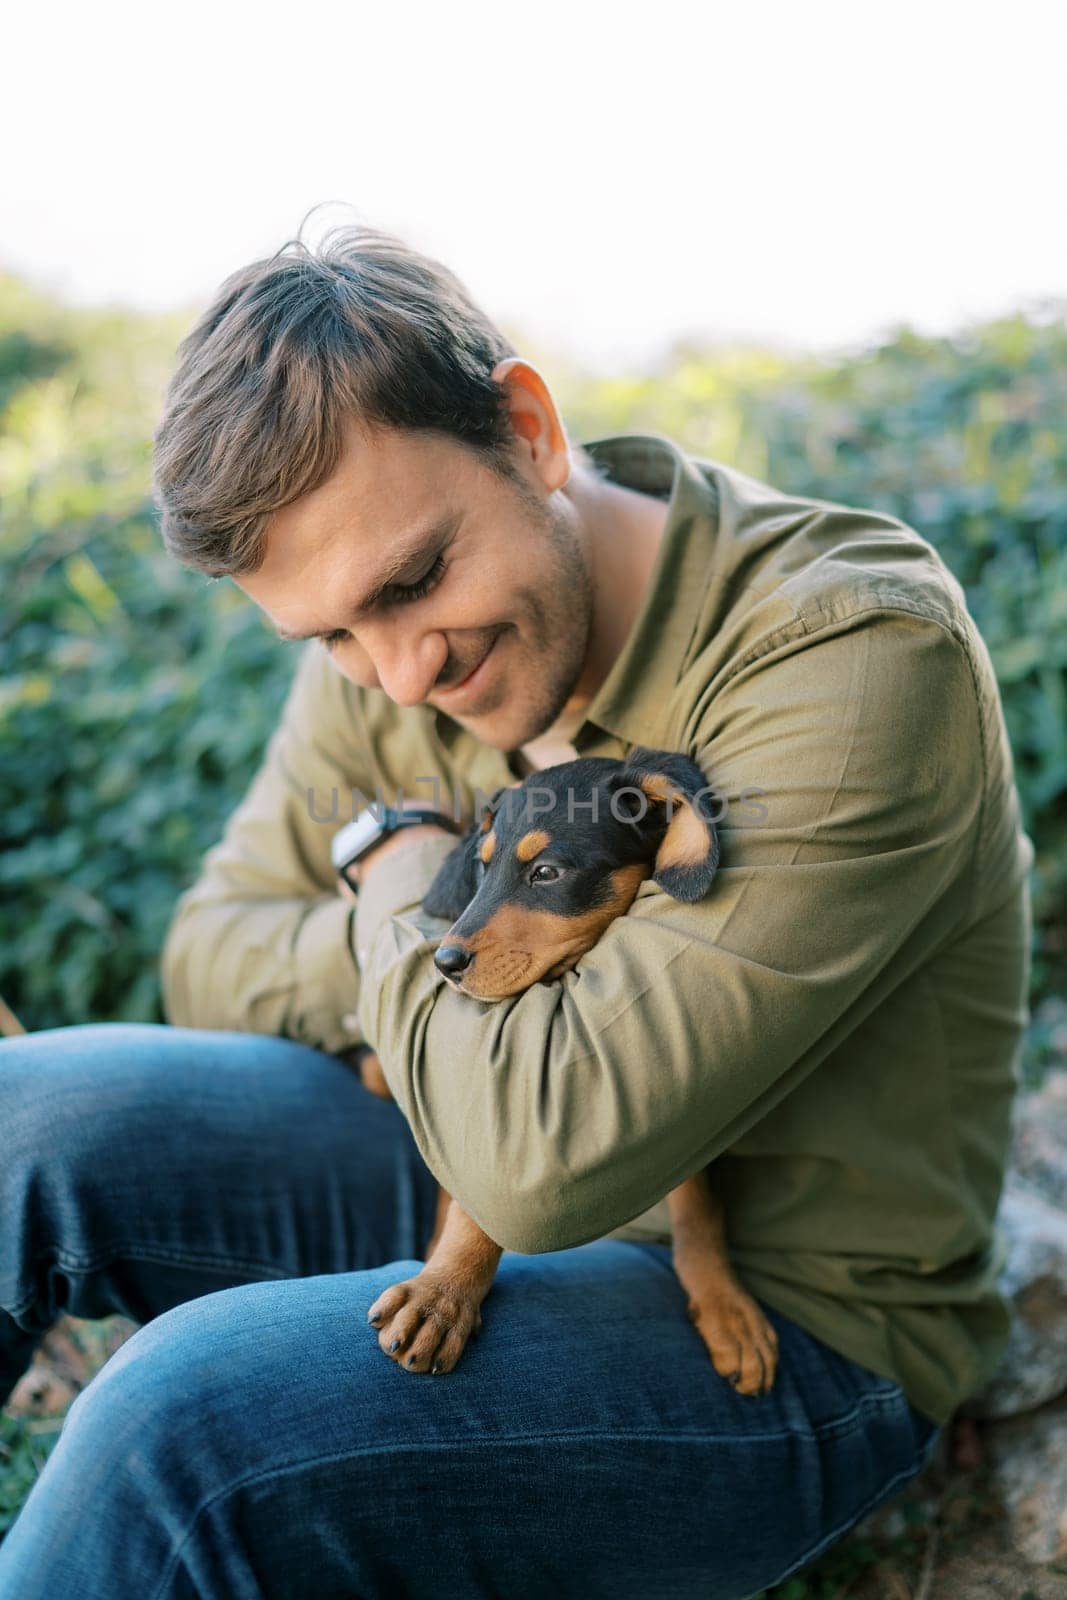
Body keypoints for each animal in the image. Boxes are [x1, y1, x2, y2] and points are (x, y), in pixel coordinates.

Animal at [363, 742, 780, 1395]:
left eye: (547, 874)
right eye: (482, 867)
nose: (444, 963)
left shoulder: (685, 1103)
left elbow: (698, 1203)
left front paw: (725, 1306)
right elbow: (478, 1198)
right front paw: (442, 1293)